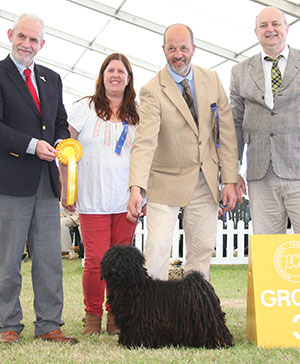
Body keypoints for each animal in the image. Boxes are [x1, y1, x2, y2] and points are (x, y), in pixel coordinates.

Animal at [102, 246, 233, 348]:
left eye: (125, 260)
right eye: (111, 260)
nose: (113, 270)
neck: (134, 287)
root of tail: (199, 284)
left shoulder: (141, 321)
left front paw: (137, 344)